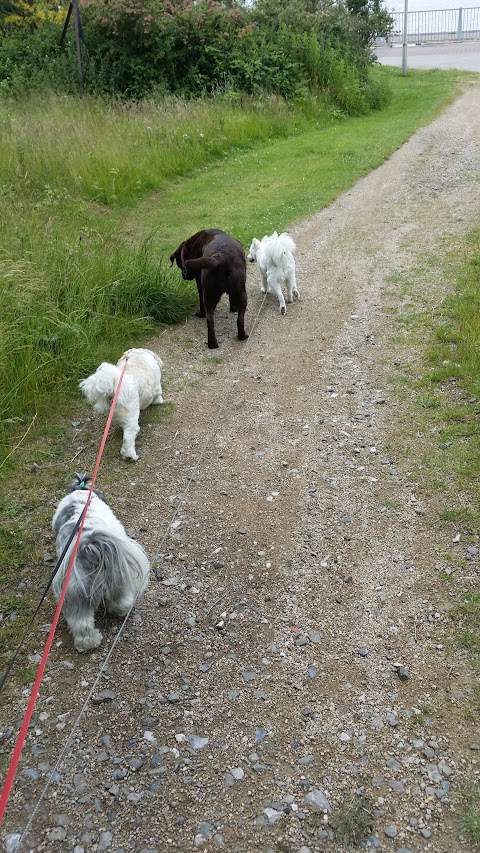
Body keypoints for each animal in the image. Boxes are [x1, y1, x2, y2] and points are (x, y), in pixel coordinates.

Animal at [52, 472, 150, 652]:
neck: (82, 496)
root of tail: (89, 547)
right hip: (115, 576)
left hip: (78, 591)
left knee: (82, 623)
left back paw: (89, 643)